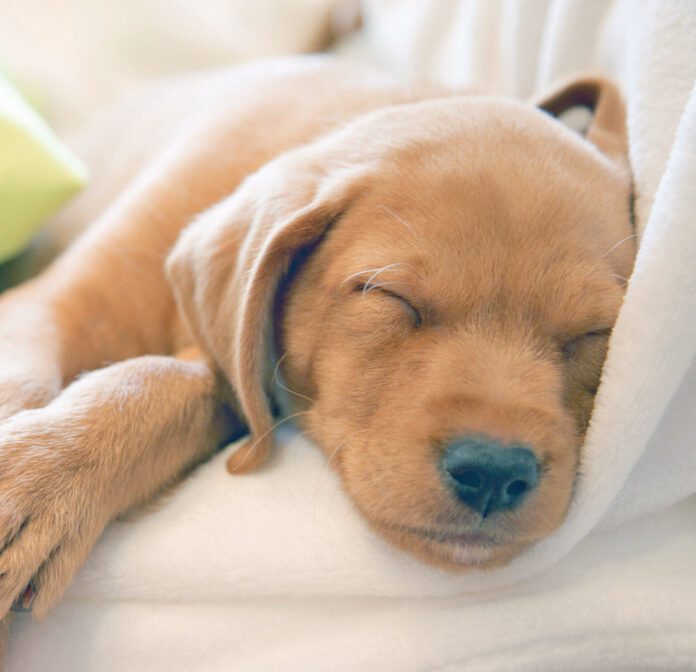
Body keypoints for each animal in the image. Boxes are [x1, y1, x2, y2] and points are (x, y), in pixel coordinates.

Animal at [0, 55, 636, 624]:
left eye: (593, 333)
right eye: (391, 296)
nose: (494, 473)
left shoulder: (232, 376)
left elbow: (175, 377)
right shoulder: (54, 304)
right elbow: (23, 377)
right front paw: (37, 474)